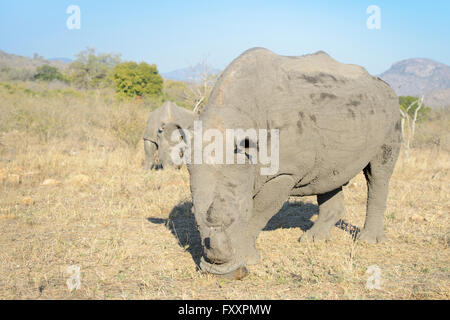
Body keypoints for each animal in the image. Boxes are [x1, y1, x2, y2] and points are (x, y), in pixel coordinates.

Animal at [186, 46, 400, 278]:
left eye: (243, 212)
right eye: (194, 219)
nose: (219, 274)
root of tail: (384, 86)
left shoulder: (284, 172)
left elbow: (258, 213)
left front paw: (249, 260)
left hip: (391, 111)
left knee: (378, 173)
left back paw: (368, 241)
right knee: (329, 175)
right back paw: (313, 240)